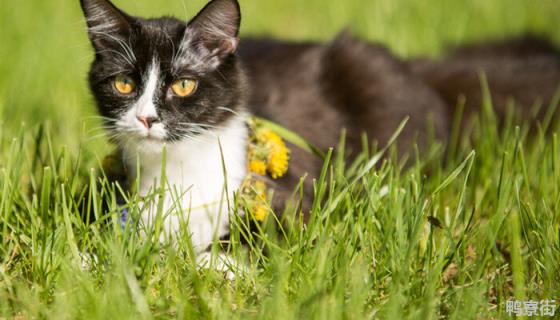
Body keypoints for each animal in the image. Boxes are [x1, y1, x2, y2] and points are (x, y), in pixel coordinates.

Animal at [81, 0, 560, 260]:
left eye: (183, 84)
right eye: (124, 83)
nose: (146, 118)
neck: (178, 169)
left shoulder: (288, 198)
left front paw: (208, 261)